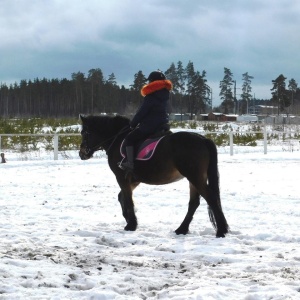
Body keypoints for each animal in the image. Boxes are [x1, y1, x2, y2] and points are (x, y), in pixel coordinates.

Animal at [78, 115, 229, 237]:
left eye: (85, 133)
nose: (82, 153)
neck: (117, 138)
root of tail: (203, 139)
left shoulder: (122, 177)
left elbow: (128, 199)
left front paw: (131, 224)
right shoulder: (135, 179)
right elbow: (122, 197)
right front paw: (129, 219)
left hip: (195, 177)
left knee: (211, 198)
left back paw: (220, 231)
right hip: (194, 178)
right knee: (194, 203)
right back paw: (182, 229)